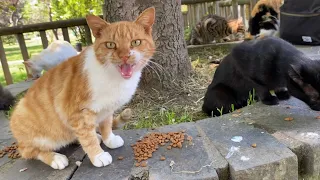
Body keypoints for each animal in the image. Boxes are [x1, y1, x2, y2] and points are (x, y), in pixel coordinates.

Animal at [9, 6, 155, 170]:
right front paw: (98, 155)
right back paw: (55, 158)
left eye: (136, 42)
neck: (114, 78)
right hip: (34, 133)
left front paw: (109, 139)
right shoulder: (77, 114)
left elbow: (106, 125)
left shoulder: (107, 109)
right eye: (110, 44)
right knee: (29, 151)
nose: (124, 56)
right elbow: (87, 137)